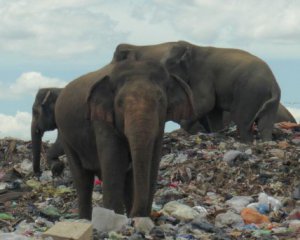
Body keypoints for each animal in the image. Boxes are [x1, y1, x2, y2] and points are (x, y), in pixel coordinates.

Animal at [54, 59, 195, 218]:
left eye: (160, 100)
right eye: (120, 103)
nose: (134, 215)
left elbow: (152, 163)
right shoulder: (102, 120)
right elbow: (115, 162)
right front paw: (115, 217)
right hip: (66, 137)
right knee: (83, 179)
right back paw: (85, 219)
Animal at [112, 40, 282, 142]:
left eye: (168, 63)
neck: (194, 47)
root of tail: (273, 83)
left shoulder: (203, 74)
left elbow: (207, 103)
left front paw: (190, 128)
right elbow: (213, 110)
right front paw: (216, 133)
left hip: (249, 93)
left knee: (243, 121)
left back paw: (247, 142)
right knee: (264, 123)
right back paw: (266, 141)